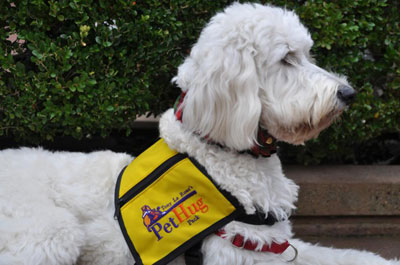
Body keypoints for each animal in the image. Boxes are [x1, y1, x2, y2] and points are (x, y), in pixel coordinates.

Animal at [0, 2, 400, 264]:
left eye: (306, 53)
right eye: (287, 58)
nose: (348, 93)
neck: (217, 151)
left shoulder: (277, 245)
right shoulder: (242, 251)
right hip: (52, 232)